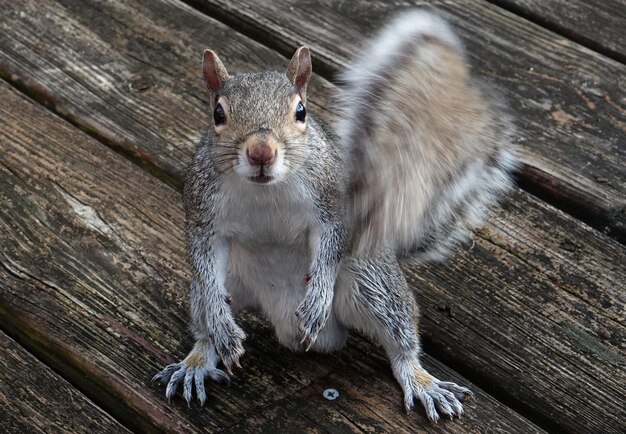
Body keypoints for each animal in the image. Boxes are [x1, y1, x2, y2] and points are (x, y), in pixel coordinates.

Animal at [154, 11, 516, 424]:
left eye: (301, 111)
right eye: (218, 113)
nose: (261, 152)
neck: (265, 190)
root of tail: (285, 325)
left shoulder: (334, 206)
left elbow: (329, 246)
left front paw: (317, 301)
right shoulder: (203, 213)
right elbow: (201, 253)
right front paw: (220, 325)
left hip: (370, 281)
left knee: (401, 342)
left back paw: (421, 380)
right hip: (226, 281)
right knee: (204, 321)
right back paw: (198, 360)